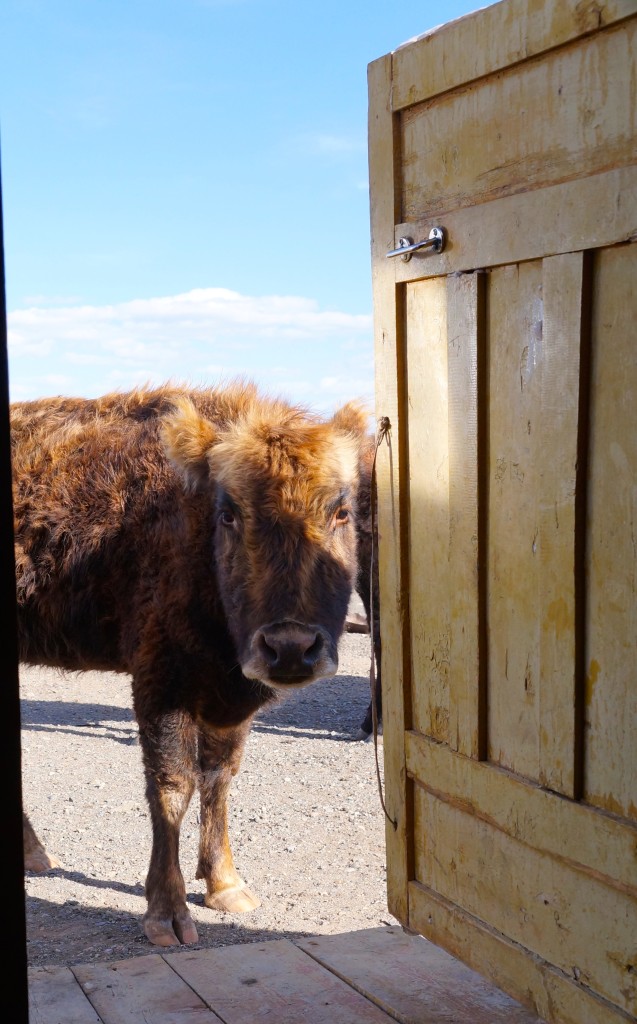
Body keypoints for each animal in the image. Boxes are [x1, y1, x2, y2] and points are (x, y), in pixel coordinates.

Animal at [11, 380, 368, 946]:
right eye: (229, 513)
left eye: (341, 512)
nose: (290, 647)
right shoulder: (161, 684)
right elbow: (171, 789)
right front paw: (168, 913)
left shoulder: (229, 697)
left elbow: (218, 777)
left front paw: (225, 884)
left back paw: (34, 854)